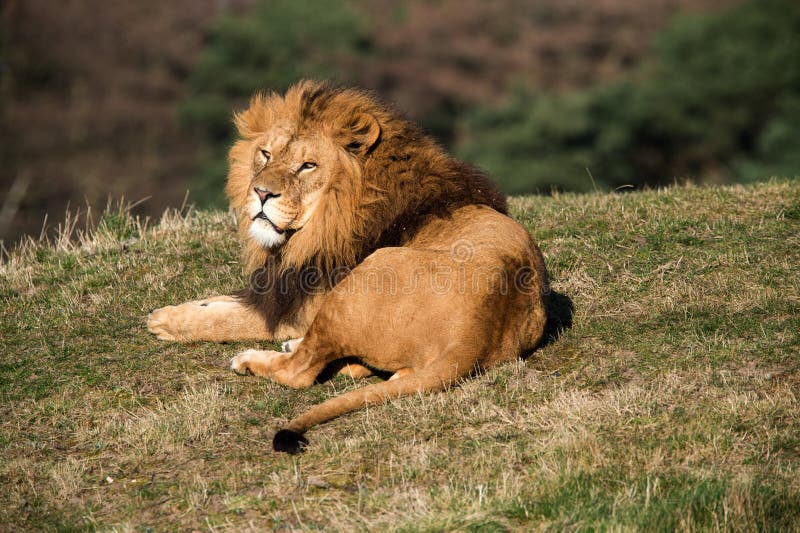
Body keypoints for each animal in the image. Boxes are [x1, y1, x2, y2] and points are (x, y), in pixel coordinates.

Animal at [147, 80, 549, 453]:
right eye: (265, 154)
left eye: (307, 166)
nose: (260, 193)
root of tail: (474, 335)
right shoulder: (284, 288)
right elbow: (224, 302)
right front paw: (180, 309)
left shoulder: (302, 305)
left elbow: (229, 320)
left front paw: (164, 322)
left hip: (361, 279)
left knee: (301, 371)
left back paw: (255, 359)